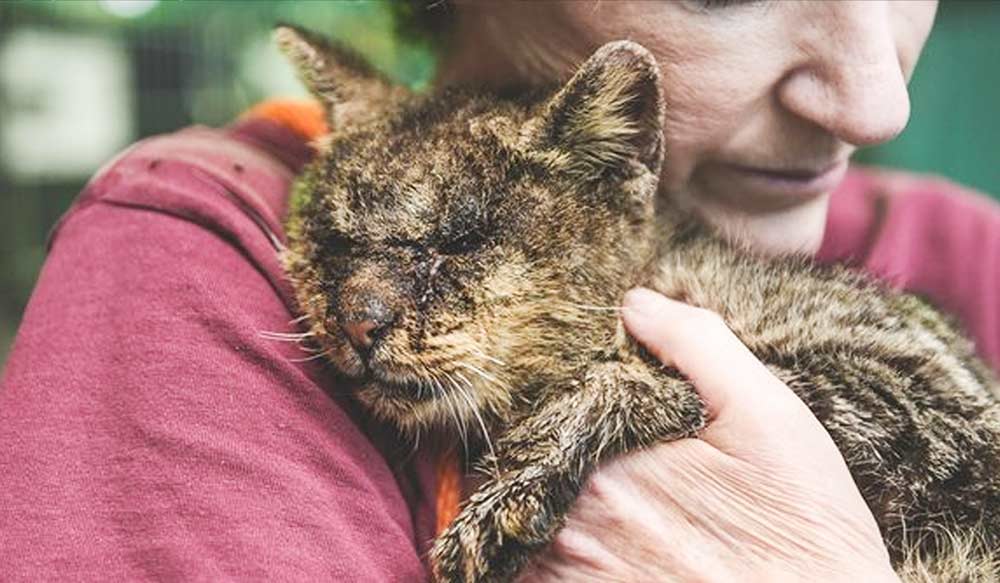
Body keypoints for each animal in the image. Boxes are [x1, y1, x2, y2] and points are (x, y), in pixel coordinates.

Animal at [274, 24, 1000, 583]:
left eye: (460, 242)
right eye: (334, 240)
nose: (357, 322)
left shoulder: (935, 408)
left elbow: (627, 374)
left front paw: (506, 499)